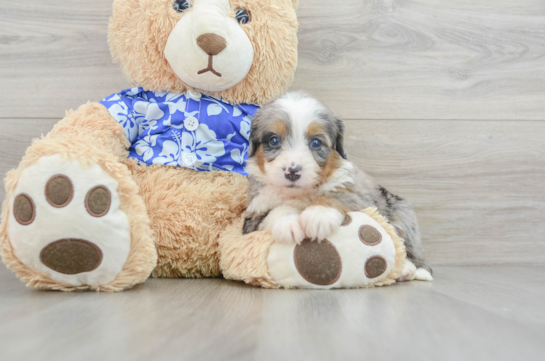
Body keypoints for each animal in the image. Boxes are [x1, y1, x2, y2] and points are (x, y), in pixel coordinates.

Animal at [244, 90, 432, 282]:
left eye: (316, 143)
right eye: (274, 140)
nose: (292, 172)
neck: (300, 194)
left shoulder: (358, 197)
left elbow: (334, 196)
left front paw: (318, 216)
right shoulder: (252, 217)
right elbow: (274, 212)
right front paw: (289, 224)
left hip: (403, 216)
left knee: (407, 247)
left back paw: (410, 269)